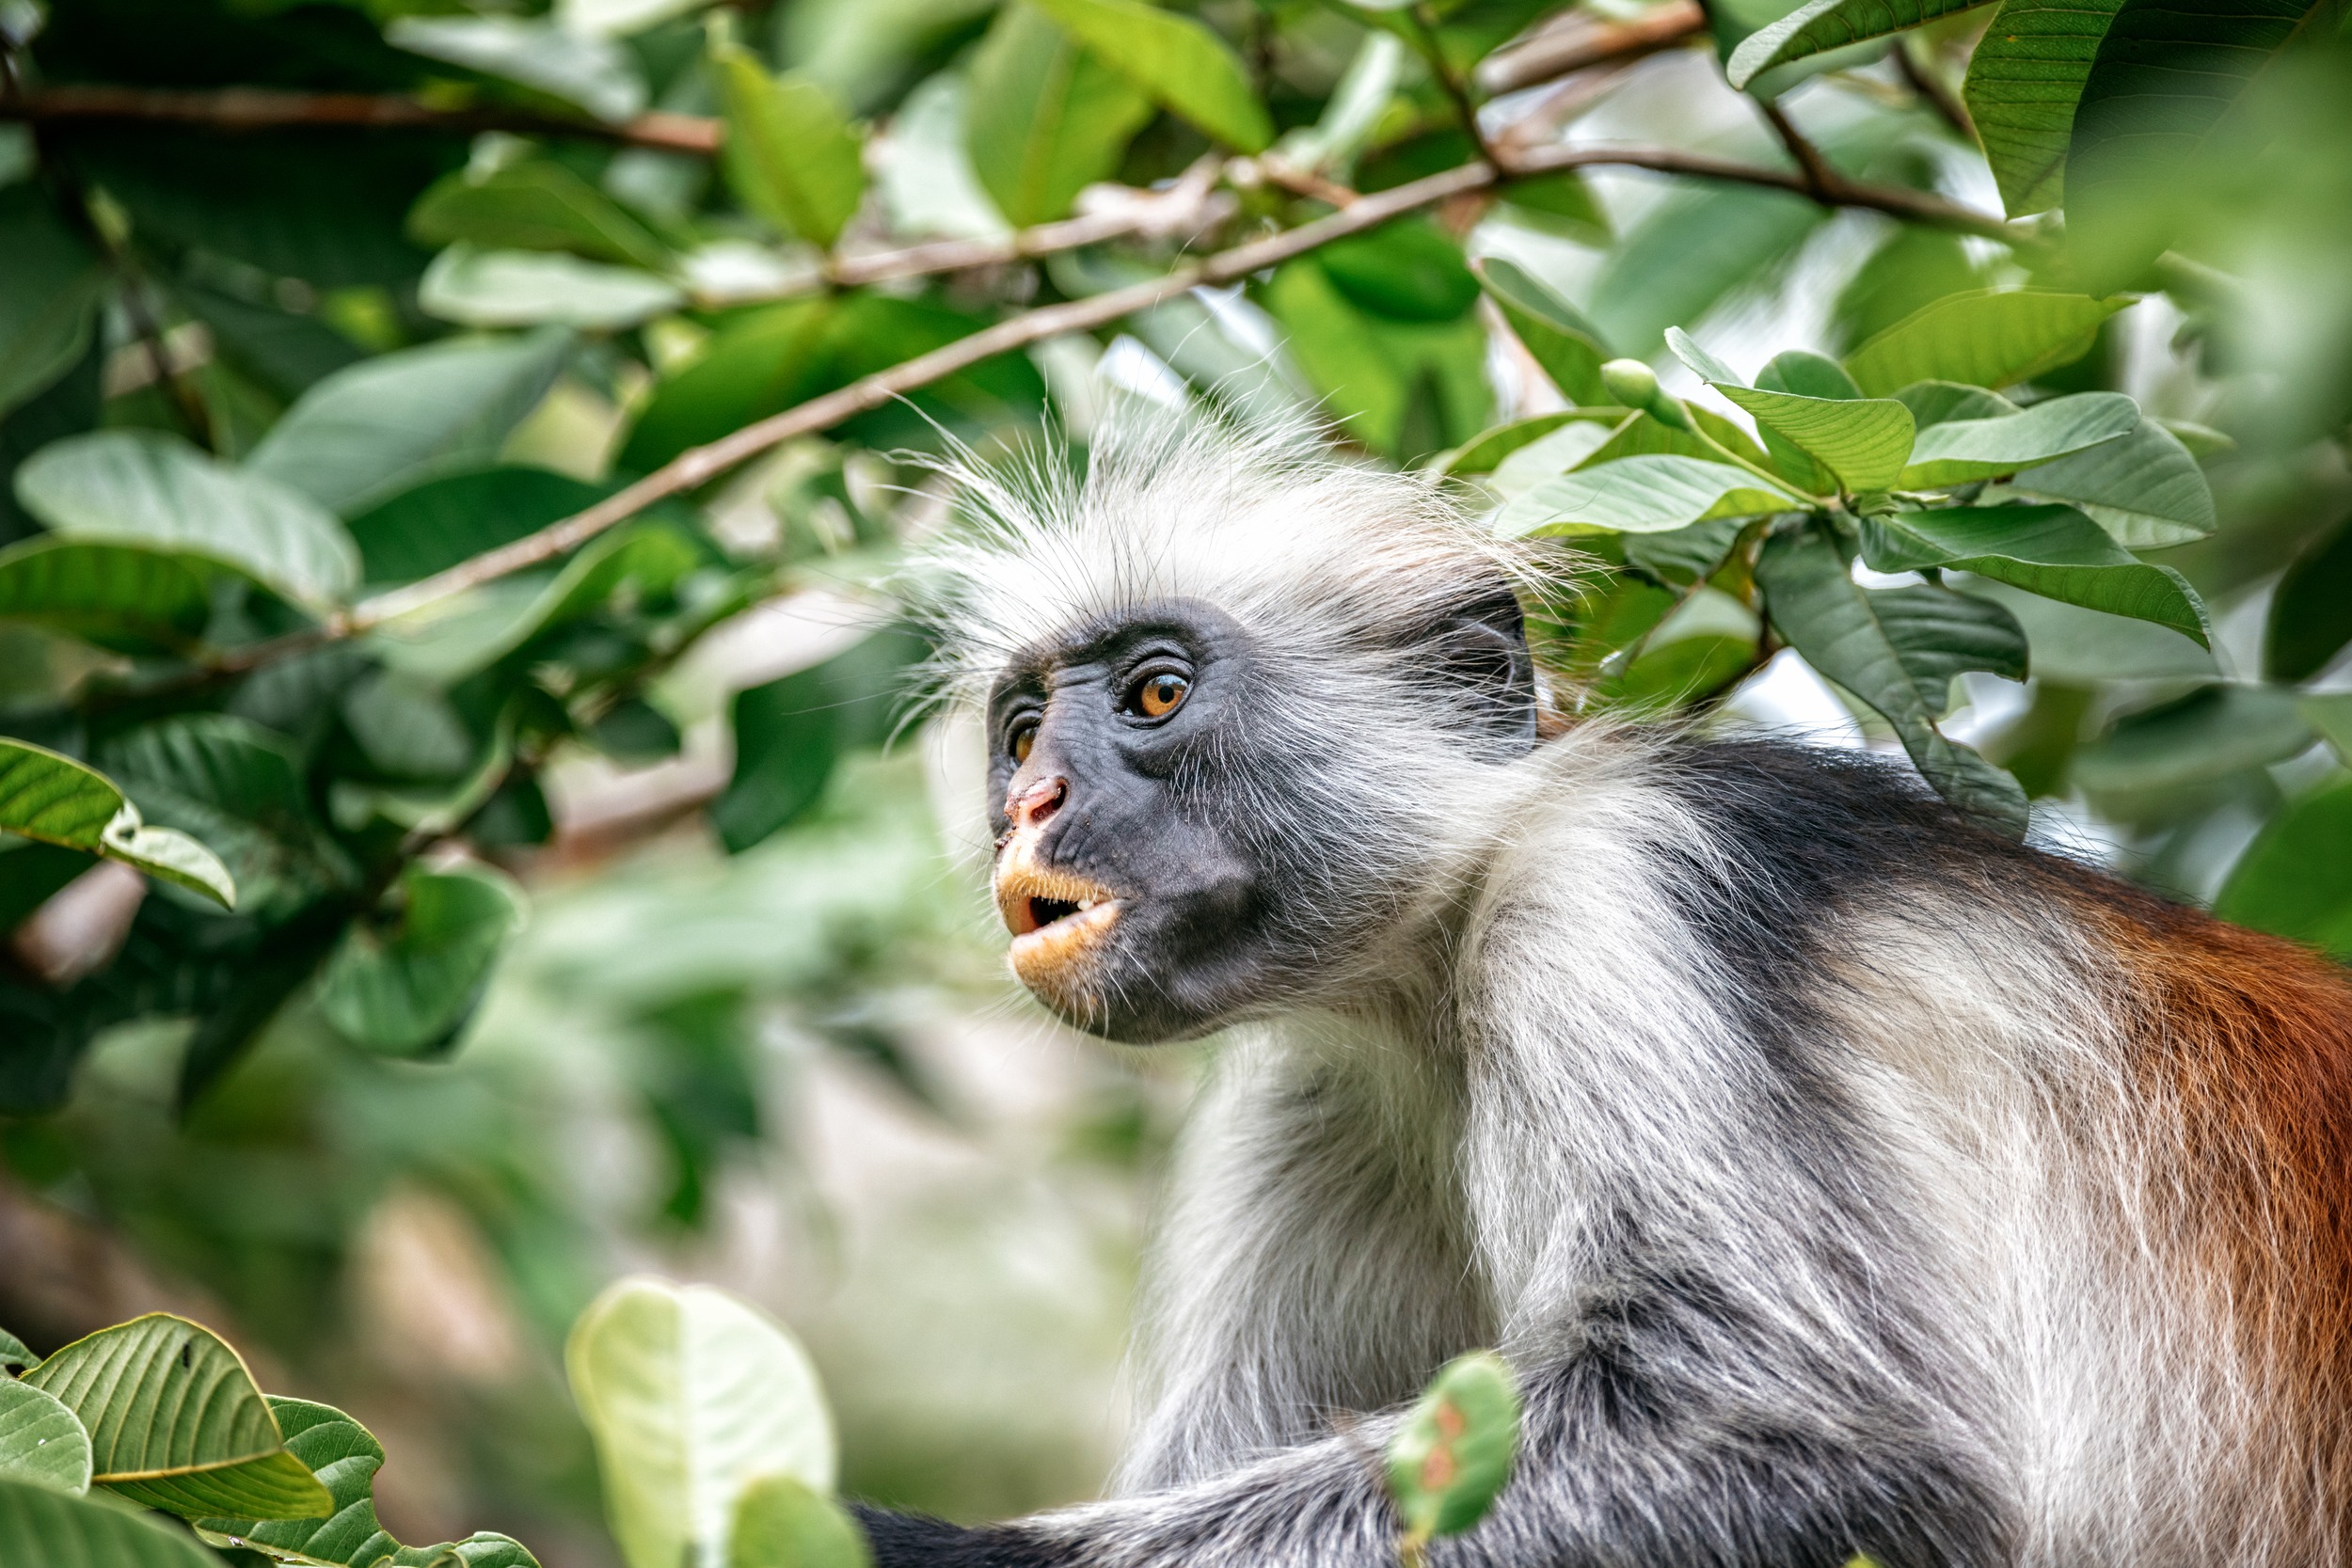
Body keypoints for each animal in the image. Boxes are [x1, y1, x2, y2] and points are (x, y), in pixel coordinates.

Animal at [852, 410, 2352, 1568]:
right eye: (1022, 732)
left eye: (1156, 694)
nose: (1034, 802)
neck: (1438, 959)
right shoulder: (1324, 1097)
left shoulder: (1615, 895)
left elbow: (1803, 1428)